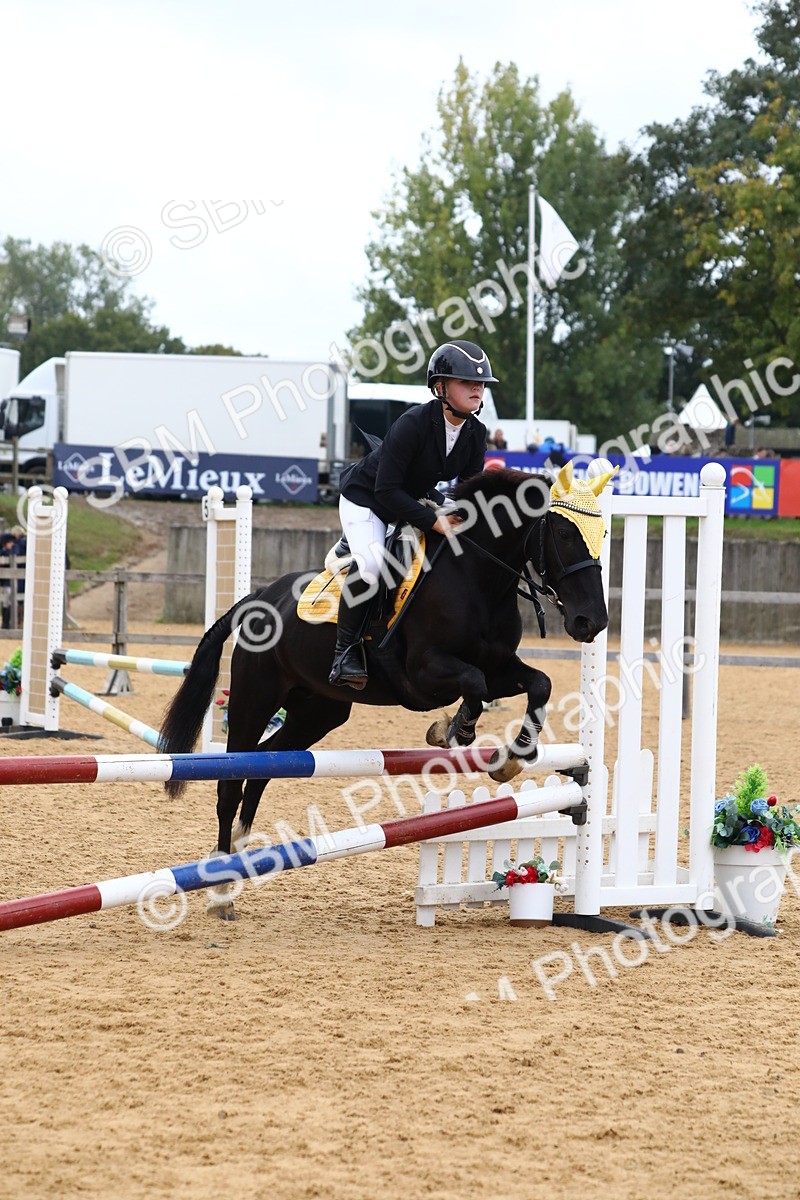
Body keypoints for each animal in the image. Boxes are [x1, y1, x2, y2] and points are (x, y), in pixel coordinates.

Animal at [159, 464, 612, 918]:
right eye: (564, 533)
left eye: (603, 533)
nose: (592, 622)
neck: (478, 580)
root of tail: (259, 596)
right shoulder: (425, 672)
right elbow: (473, 684)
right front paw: (452, 732)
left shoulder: (500, 667)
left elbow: (539, 684)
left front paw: (512, 757)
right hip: (255, 698)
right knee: (231, 781)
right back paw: (221, 888)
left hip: (317, 712)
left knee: (264, 767)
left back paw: (239, 854)